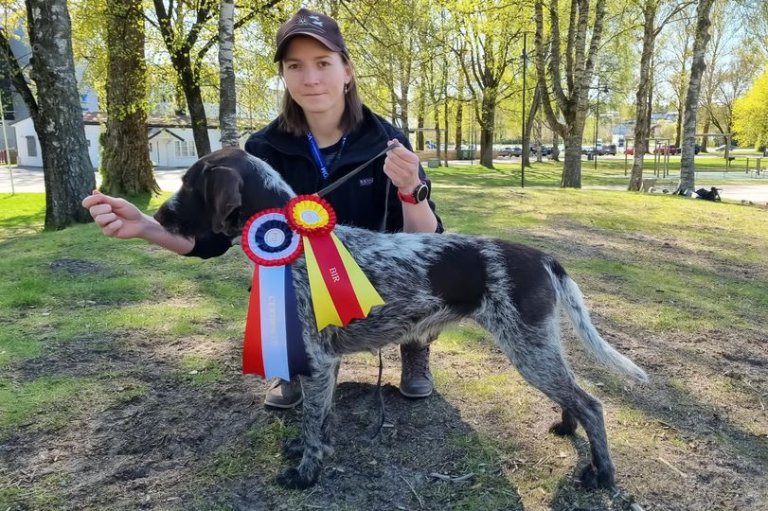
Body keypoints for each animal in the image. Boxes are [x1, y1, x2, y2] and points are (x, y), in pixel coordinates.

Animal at [154, 147, 648, 492]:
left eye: (189, 184)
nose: (159, 215)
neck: (296, 238)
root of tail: (542, 256)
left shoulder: (318, 361)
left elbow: (313, 423)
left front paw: (306, 473)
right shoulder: (326, 365)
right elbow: (320, 418)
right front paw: (311, 450)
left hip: (529, 349)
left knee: (592, 404)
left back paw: (603, 475)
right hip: (540, 347)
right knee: (574, 395)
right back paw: (567, 427)